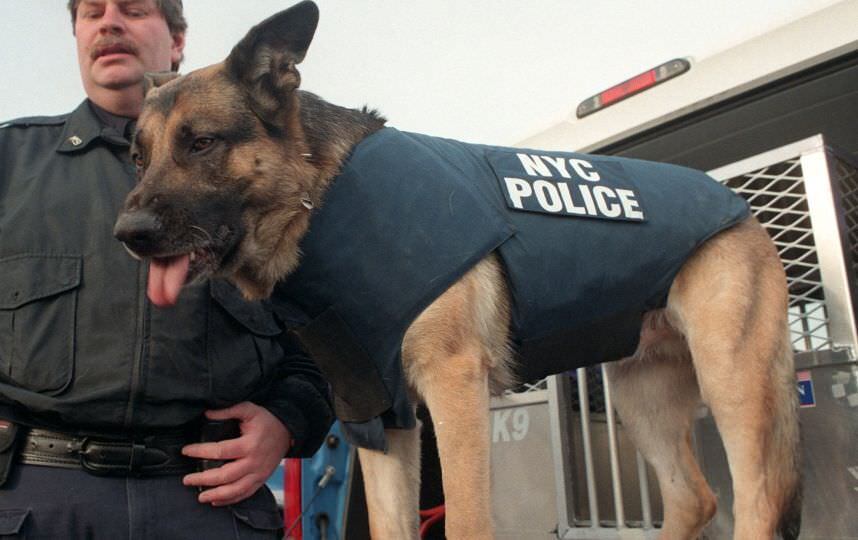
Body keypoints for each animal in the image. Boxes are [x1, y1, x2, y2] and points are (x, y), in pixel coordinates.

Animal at [113, 2, 801, 538]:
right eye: (138, 158)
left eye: (202, 143)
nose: (128, 235)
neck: (317, 199)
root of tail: (737, 205)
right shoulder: (376, 415)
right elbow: (389, 527)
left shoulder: (453, 388)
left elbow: (468, 523)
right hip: (642, 399)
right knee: (695, 498)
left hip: (731, 378)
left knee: (758, 500)